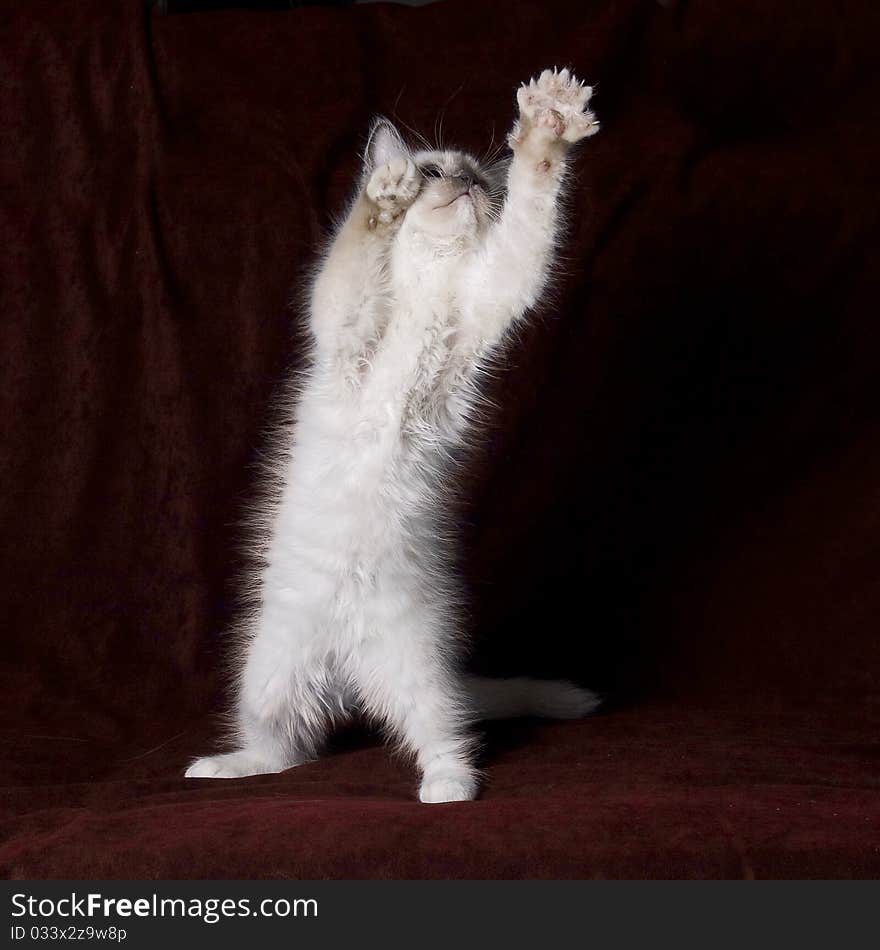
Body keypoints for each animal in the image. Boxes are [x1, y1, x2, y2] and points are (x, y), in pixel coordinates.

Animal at [185, 67, 600, 804]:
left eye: (481, 180)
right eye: (435, 170)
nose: (462, 184)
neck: (429, 282)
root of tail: (346, 677)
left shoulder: (500, 288)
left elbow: (533, 210)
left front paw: (547, 129)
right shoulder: (342, 323)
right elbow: (355, 247)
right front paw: (386, 193)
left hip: (418, 672)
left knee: (438, 735)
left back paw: (448, 788)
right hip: (267, 676)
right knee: (280, 751)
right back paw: (224, 767)